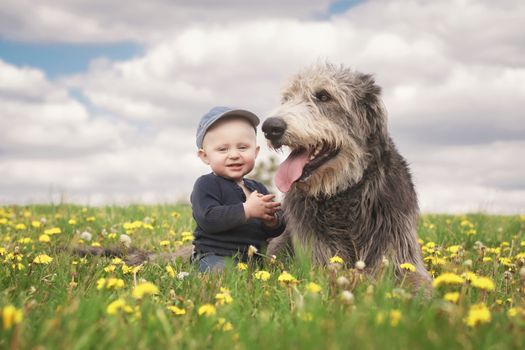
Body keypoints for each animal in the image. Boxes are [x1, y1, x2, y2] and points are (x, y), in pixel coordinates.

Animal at [260, 63, 430, 292]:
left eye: (323, 96)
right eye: (287, 99)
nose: (270, 127)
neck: (342, 194)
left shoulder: (399, 247)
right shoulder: (317, 258)